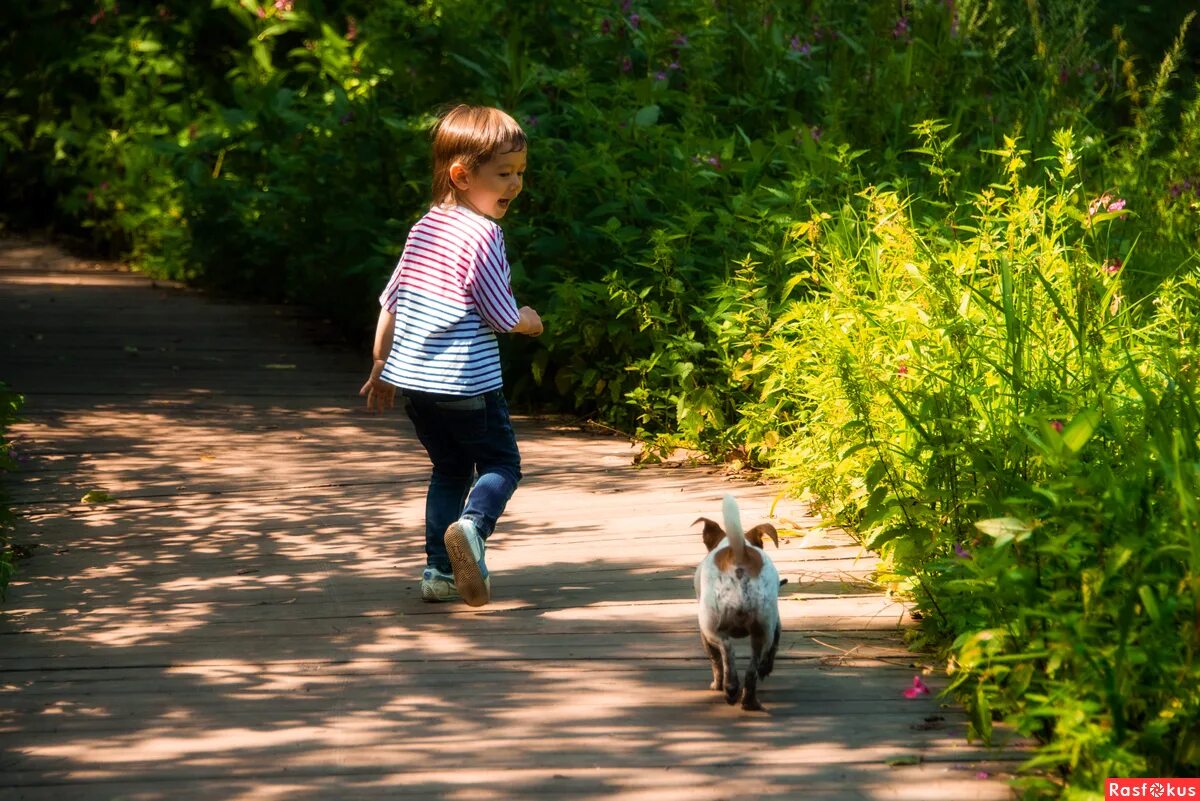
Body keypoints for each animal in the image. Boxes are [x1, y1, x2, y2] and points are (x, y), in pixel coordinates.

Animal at [691, 494, 782, 714]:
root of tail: (739, 557)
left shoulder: (704, 635)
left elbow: (715, 661)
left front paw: (716, 684)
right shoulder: (775, 626)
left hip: (711, 626)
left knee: (726, 651)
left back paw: (730, 688)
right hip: (762, 630)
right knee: (751, 671)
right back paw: (748, 700)